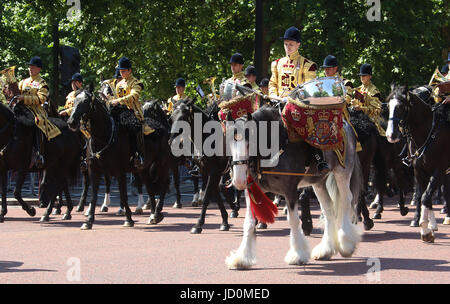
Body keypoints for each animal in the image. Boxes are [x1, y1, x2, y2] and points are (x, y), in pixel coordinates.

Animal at [386, 84, 450, 241]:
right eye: (388, 105)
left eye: (401, 106)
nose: (391, 135)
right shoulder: (419, 171)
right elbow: (424, 196)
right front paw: (427, 227)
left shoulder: (438, 169)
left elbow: (426, 197)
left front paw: (425, 229)